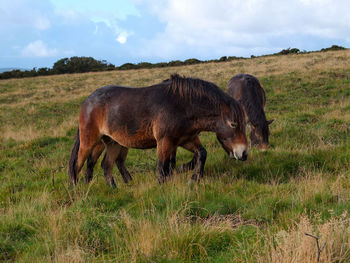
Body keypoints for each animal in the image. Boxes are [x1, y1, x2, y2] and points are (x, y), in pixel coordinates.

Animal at [69, 74, 249, 188]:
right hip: (89, 141)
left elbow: (201, 154)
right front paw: (163, 189)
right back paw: (75, 191)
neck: (182, 106)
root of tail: (88, 101)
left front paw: (193, 178)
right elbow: (162, 167)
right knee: (78, 164)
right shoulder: (165, 141)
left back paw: (115, 189)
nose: (244, 153)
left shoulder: (185, 139)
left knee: (106, 165)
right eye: (233, 124)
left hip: (113, 142)